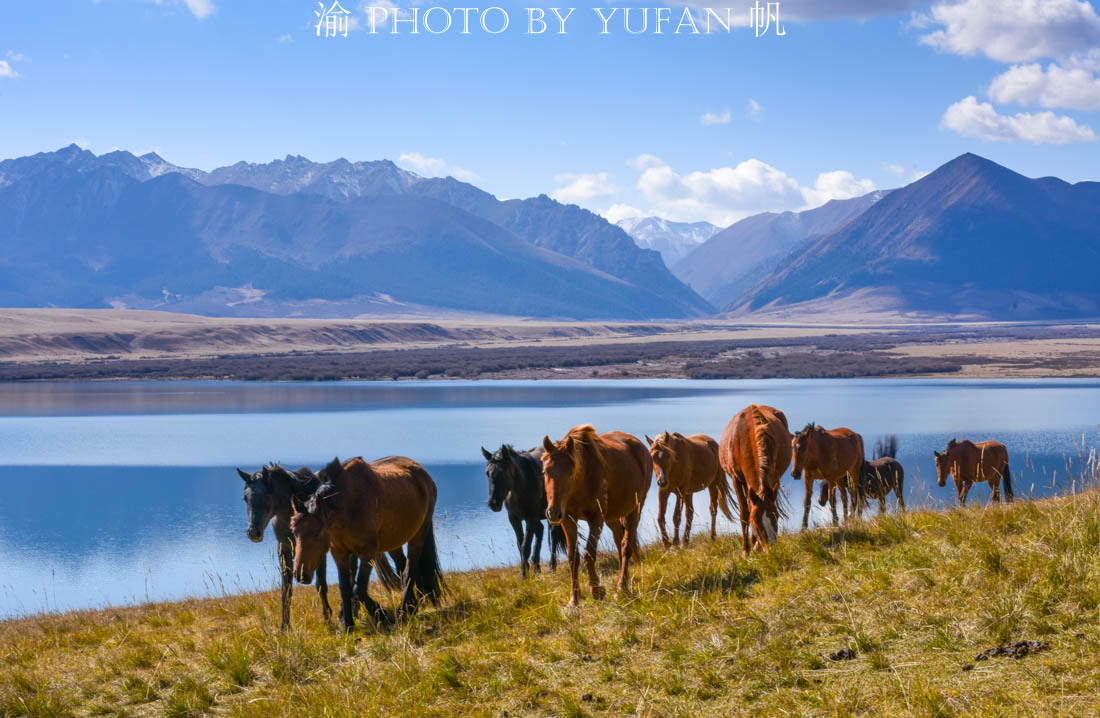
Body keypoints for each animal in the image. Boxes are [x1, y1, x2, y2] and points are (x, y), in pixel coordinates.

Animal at [236, 464, 404, 628]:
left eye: (266, 496)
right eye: (245, 498)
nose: (253, 532)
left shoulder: (319, 551)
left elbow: (321, 584)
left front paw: (328, 620)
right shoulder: (284, 549)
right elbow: (286, 589)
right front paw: (284, 627)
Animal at [297, 453, 446, 628]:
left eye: (316, 534)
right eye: (294, 532)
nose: (300, 575)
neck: (349, 502)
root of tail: (424, 474)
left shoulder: (368, 551)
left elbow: (359, 588)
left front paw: (381, 614)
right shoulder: (339, 552)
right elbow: (345, 588)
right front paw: (347, 625)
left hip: (418, 535)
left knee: (409, 570)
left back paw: (403, 610)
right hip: (394, 543)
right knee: (402, 568)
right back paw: (411, 606)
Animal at [481, 442, 567, 576]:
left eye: (503, 472)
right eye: (487, 473)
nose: (493, 503)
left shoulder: (530, 518)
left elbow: (525, 546)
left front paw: (523, 575)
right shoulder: (514, 519)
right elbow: (520, 544)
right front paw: (526, 570)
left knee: (553, 535)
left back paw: (552, 567)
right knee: (540, 531)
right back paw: (536, 567)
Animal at [543, 426, 651, 606]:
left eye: (570, 472)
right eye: (545, 471)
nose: (553, 512)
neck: (581, 482)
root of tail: (641, 447)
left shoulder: (596, 518)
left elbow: (589, 554)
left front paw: (597, 591)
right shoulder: (568, 519)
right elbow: (573, 557)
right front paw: (574, 599)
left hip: (635, 509)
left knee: (626, 546)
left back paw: (622, 587)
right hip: (612, 517)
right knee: (619, 542)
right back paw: (625, 581)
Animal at [712, 402, 792, 554]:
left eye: (776, 516)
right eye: (755, 520)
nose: (771, 548)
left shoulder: (772, 477)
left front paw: (755, 544)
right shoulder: (736, 479)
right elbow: (745, 513)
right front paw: (746, 550)